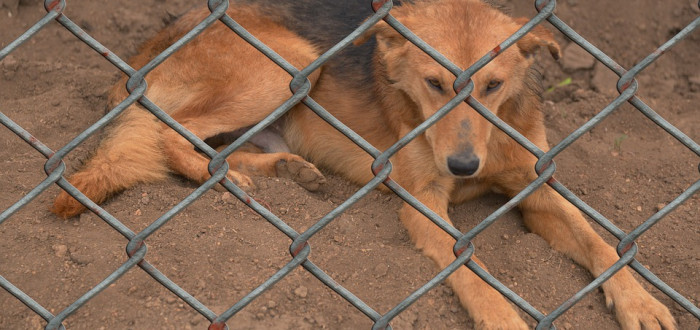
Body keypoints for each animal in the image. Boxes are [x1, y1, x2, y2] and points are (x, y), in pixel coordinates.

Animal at [52, 1, 676, 328]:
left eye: (494, 86)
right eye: (434, 84)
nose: (463, 165)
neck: (488, 140)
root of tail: (145, 51)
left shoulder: (537, 190)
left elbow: (601, 245)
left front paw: (641, 302)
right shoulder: (424, 203)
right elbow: (470, 270)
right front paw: (501, 317)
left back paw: (287, 171)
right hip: (288, 66)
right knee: (167, 132)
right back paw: (232, 179)